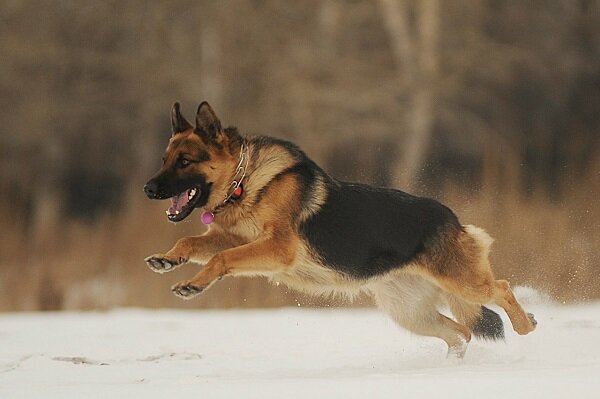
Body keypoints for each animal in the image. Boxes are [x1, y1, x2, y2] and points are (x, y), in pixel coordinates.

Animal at [143, 101, 536, 358]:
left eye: (185, 161)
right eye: (165, 160)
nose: (147, 188)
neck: (246, 182)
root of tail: (453, 219)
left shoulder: (276, 248)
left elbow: (221, 259)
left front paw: (193, 284)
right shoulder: (235, 238)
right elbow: (190, 240)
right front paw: (168, 260)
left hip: (463, 283)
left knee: (502, 289)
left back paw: (527, 326)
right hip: (411, 313)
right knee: (462, 332)